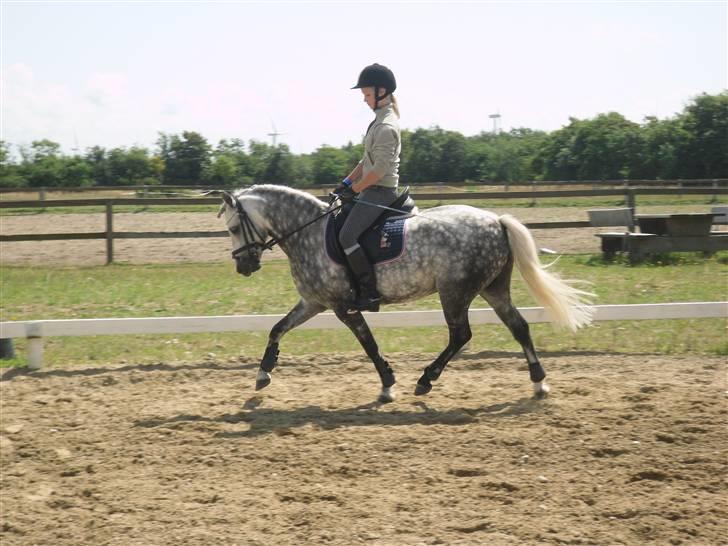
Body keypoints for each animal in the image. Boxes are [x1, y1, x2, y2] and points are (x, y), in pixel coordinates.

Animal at [218, 184, 594, 403]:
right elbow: (277, 328)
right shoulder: (313, 302)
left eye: (234, 227)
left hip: (455, 292)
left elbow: (369, 345)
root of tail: (495, 220)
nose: (243, 266)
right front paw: (263, 372)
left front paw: (387, 385)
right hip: (492, 288)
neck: (308, 233)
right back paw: (538, 383)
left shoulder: (342, 307)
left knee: (461, 335)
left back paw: (426, 380)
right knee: (519, 327)